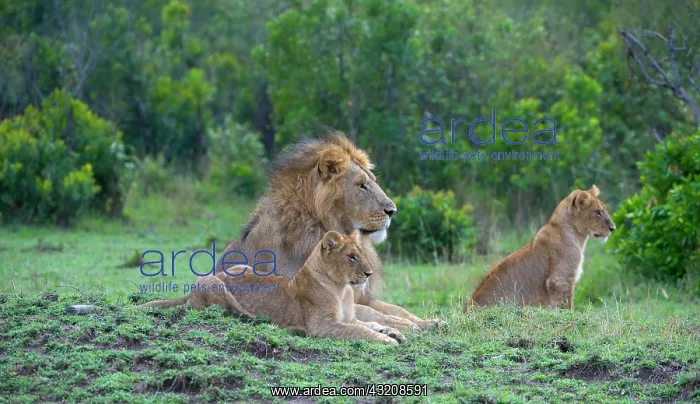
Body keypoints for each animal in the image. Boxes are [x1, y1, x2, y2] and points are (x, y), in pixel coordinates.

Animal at [141, 231, 407, 344]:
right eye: (352, 257)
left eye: (360, 254)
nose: (369, 273)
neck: (343, 289)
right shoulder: (322, 325)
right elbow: (360, 331)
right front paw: (387, 340)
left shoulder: (348, 318)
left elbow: (367, 323)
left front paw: (393, 332)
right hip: (211, 282)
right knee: (228, 311)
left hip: (240, 267)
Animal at [216, 129, 444, 330]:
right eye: (362, 185)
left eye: (372, 182)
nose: (392, 211)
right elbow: (376, 313)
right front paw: (410, 326)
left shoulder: (361, 294)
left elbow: (396, 309)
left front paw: (430, 322)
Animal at [466, 185, 616, 310]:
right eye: (598, 212)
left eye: (603, 210)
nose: (613, 228)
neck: (577, 236)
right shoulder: (560, 280)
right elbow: (566, 307)